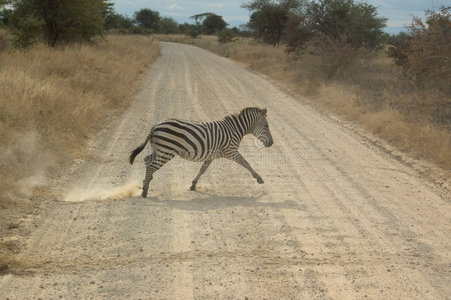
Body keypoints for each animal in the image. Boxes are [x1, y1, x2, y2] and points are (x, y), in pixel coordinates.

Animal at [129, 107, 274, 197]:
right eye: (266, 126)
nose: (272, 143)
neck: (235, 129)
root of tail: (155, 126)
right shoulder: (231, 151)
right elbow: (246, 163)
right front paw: (259, 178)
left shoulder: (212, 155)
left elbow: (202, 169)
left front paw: (193, 185)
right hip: (166, 151)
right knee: (151, 165)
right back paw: (145, 191)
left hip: (159, 149)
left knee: (147, 160)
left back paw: (146, 183)